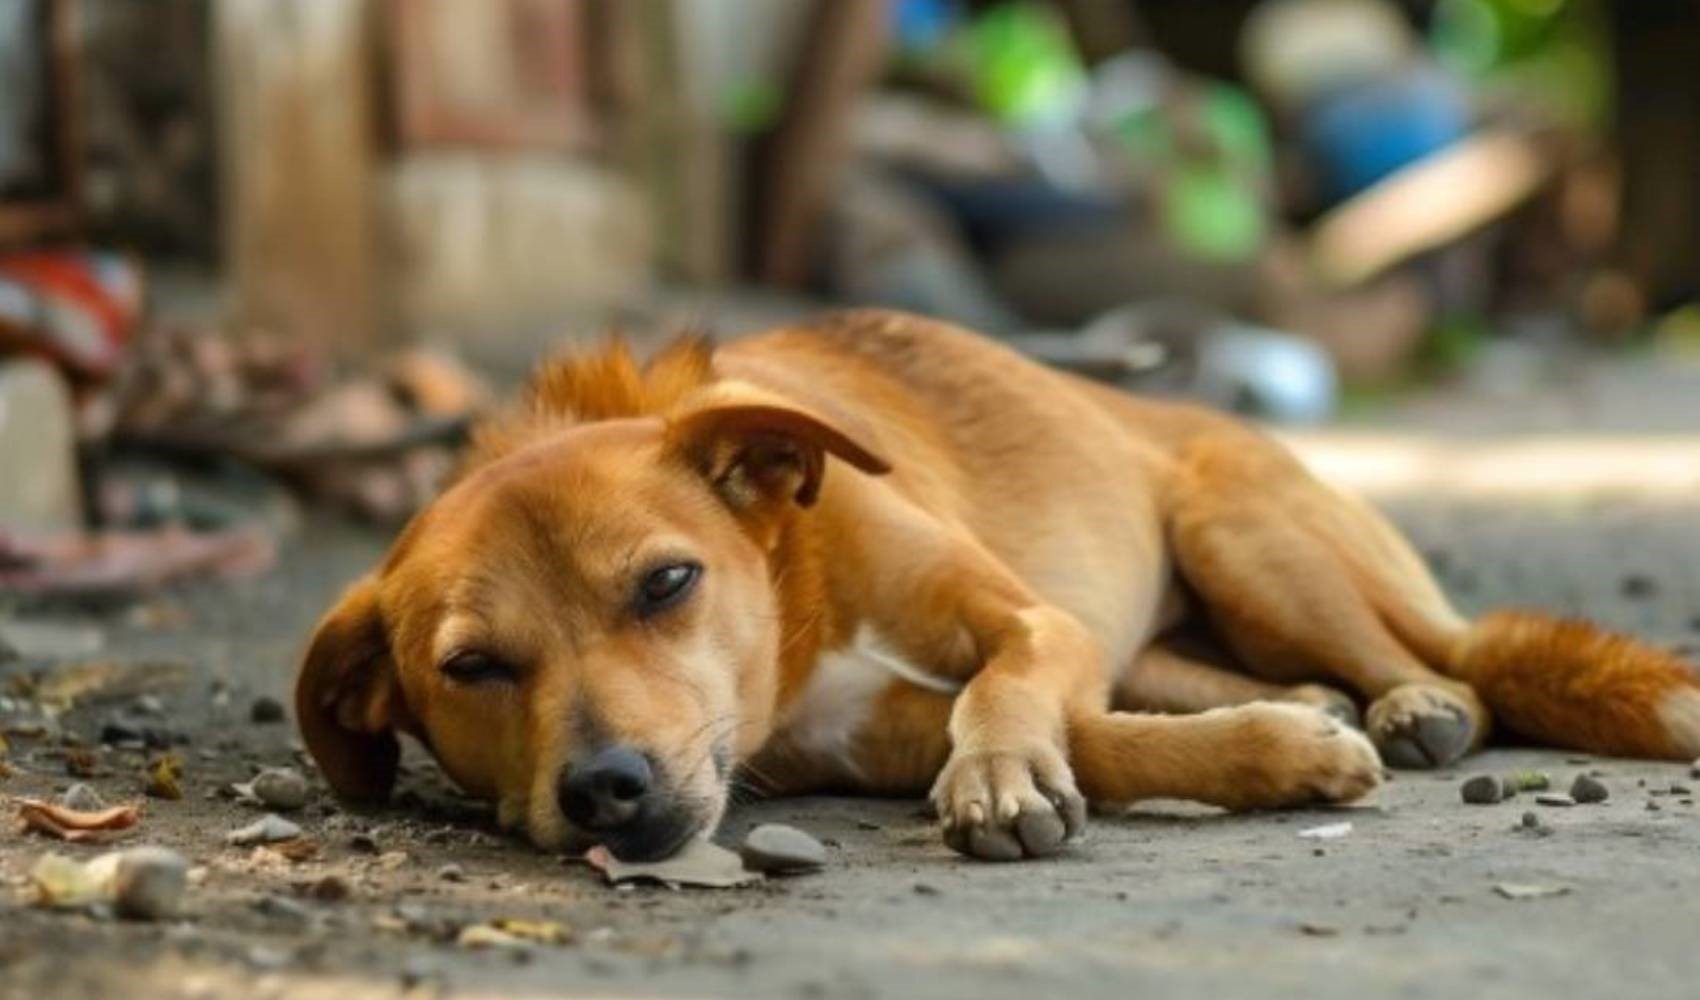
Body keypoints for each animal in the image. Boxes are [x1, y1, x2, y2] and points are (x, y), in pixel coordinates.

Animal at [299, 311, 1700, 860]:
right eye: (471, 668)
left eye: (667, 583)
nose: (604, 789)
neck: (797, 594)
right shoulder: (860, 736)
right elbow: (1104, 739)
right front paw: (1278, 751)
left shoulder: (1031, 620)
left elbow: (1006, 689)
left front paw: (999, 776)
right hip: (1176, 623)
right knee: (1209, 677)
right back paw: (1315, 704)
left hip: (1247, 537)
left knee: (1450, 664)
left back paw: (1409, 703)